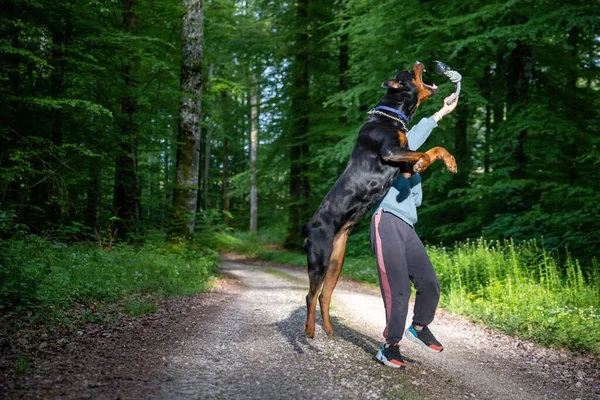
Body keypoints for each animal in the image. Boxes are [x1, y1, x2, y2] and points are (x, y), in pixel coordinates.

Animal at [302, 61, 458, 338]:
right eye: (408, 72)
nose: (418, 61)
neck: (391, 115)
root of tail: (310, 226)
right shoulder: (391, 151)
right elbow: (423, 153)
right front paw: (425, 162)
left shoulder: (403, 166)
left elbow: (435, 149)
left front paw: (450, 161)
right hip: (319, 258)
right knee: (311, 295)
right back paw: (310, 330)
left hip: (336, 261)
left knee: (324, 295)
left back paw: (329, 329)